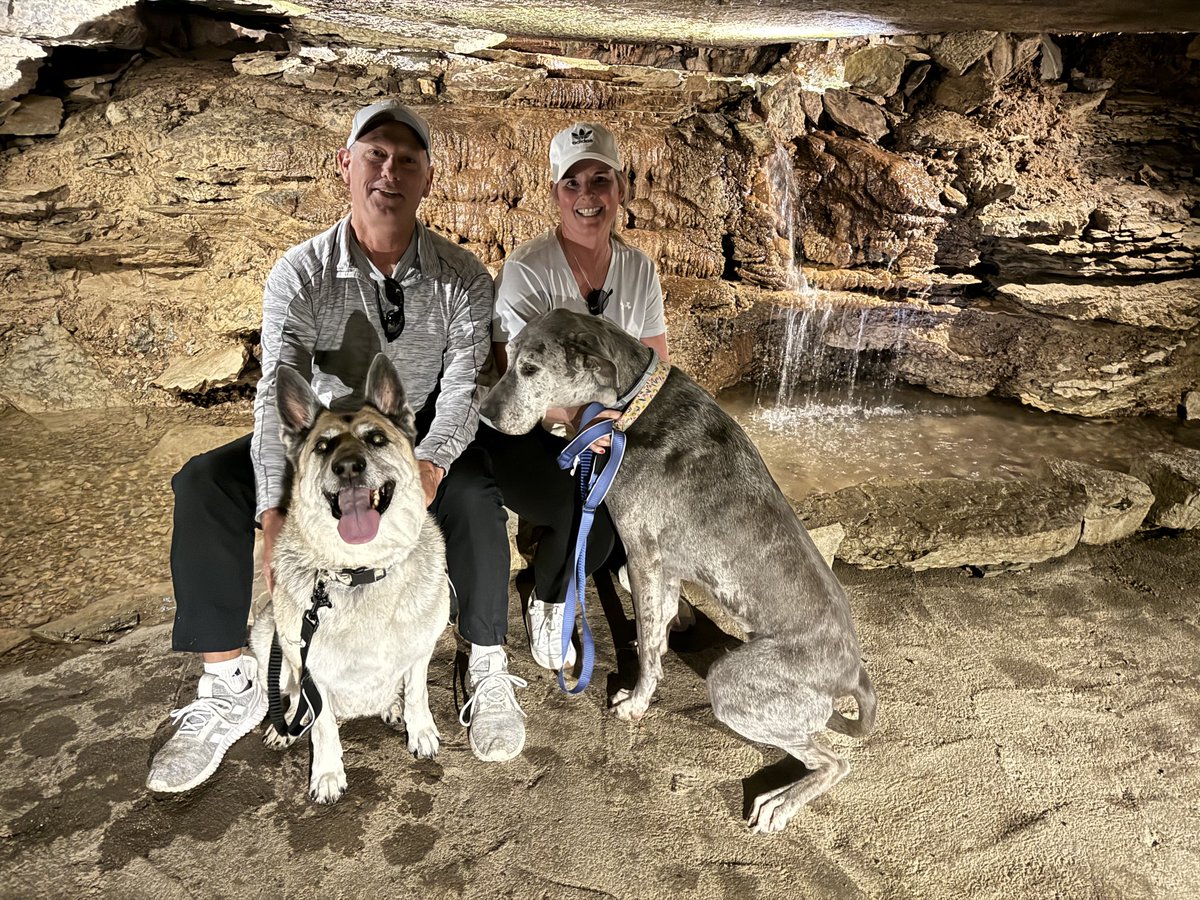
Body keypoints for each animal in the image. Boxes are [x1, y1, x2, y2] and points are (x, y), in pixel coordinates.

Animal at [250, 352, 448, 801]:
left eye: (376, 439)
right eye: (323, 447)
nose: (348, 468)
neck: (359, 571)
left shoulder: (421, 650)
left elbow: (418, 692)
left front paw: (420, 730)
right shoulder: (310, 671)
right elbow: (322, 726)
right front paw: (326, 772)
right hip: (265, 636)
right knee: (289, 698)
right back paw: (286, 726)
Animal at [482, 309, 878, 830]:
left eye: (529, 369)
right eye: (507, 357)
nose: (483, 414)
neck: (633, 406)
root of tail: (853, 674)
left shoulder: (644, 553)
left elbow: (649, 647)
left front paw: (636, 700)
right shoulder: (659, 564)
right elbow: (656, 617)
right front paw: (663, 634)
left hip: (730, 682)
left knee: (835, 761)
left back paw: (779, 802)